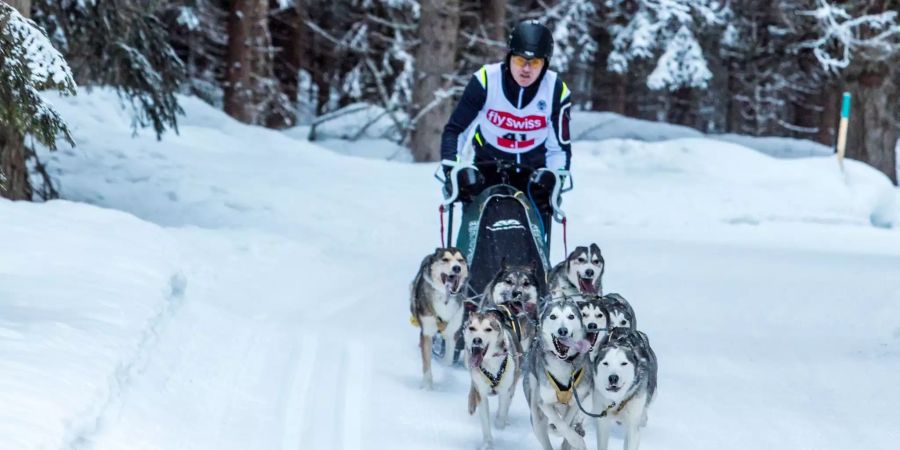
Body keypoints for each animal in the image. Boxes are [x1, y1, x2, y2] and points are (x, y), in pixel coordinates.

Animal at [412, 248, 472, 388]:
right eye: (445, 259)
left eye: (460, 260)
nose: (457, 268)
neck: (445, 298)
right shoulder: (427, 332)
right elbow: (426, 362)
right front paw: (427, 386)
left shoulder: (453, 331)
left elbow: (448, 359)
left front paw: (444, 365)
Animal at [464, 310, 520, 450]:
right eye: (472, 328)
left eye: (488, 329)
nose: (477, 339)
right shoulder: (481, 394)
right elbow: (485, 421)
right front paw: (488, 443)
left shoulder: (506, 391)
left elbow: (502, 413)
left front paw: (499, 423)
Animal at [524, 298, 596, 450]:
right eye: (553, 316)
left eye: (571, 316)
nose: (563, 330)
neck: (564, 362)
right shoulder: (543, 402)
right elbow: (560, 424)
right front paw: (576, 440)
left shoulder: (577, 400)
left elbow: (567, 421)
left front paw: (574, 437)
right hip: (535, 414)